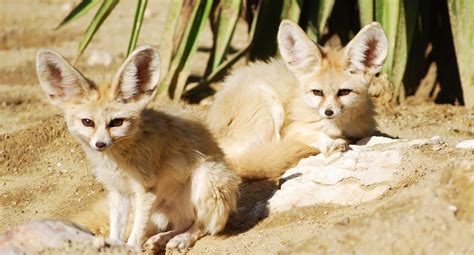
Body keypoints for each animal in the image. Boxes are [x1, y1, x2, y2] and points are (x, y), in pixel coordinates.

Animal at [36, 45, 241, 251]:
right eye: (87, 122)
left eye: (116, 122)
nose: (100, 144)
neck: (117, 161)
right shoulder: (118, 191)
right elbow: (116, 230)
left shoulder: (146, 190)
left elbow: (136, 233)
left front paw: (132, 248)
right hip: (163, 209)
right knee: (183, 222)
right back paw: (160, 238)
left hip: (205, 177)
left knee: (201, 226)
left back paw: (181, 239)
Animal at [207, 19, 388, 179]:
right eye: (317, 92)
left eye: (344, 92)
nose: (328, 112)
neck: (339, 126)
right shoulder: (291, 131)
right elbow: (314, 135)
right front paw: (329, 144)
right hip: (268, 103)